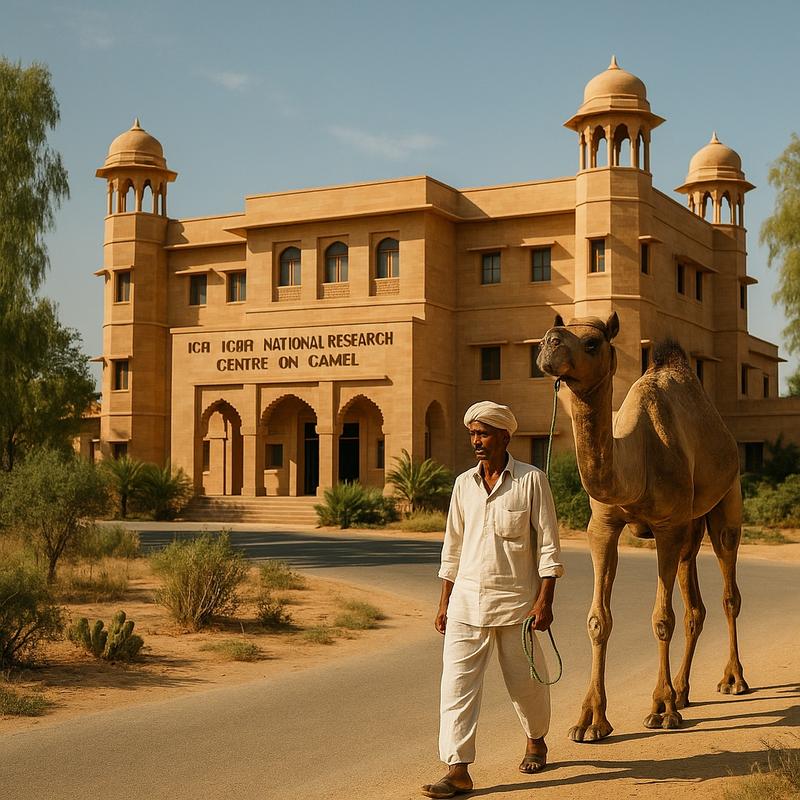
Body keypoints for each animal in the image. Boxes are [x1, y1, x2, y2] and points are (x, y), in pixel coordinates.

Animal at [537, 312, 748, 741]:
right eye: (554, 333)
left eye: (592, 343)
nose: (549, 342)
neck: (638, 461)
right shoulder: (603, 526)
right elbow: (598, 620)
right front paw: (589, 721)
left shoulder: (666, 526)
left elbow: (661, 619)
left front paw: (662, 710)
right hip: (690, 526)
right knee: (695, 605)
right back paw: (683, 690)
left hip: (726, 500)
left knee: (727, 590)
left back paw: (731, 680)